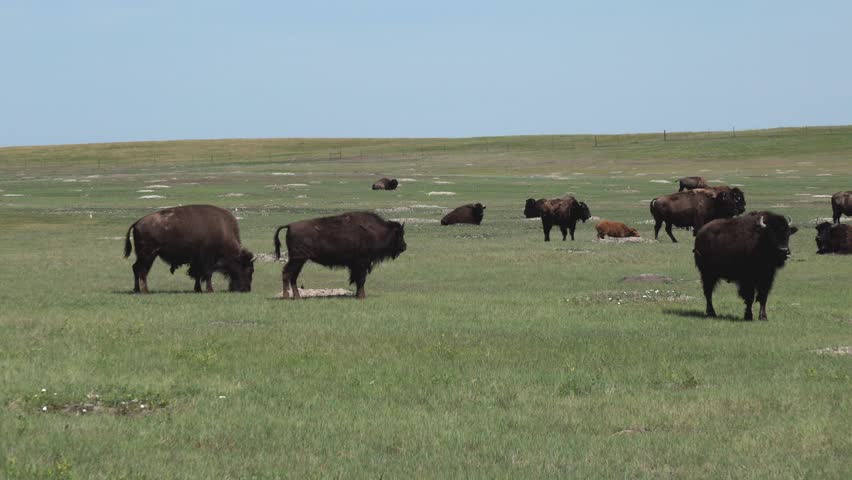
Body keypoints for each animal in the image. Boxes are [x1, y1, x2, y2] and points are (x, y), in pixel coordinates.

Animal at [123, 205, 254, 293]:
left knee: (136, 268)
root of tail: (137, 223)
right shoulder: (208, 260)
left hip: (144, 255)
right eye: (248, 269)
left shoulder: (197, 261)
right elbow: (207, 274)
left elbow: (197, 275)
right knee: (142, 271)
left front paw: (198, 289)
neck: (223, 231)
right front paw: (210, 290)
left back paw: (137, 290)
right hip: (148, 255)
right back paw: (145, 290)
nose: (246, 289)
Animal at [273, 212, 406, 299]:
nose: (404, 247)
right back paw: (287, 296)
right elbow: (361, 280)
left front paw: (358, 295)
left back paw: (296, 297)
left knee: (292, 276)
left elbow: (357, 280)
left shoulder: (357, 265)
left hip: (299, 260)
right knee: (287, 273)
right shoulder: (362, 263)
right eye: (400, 234)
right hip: (298, 259)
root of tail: (290, 225)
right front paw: (362, 297)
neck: (376, 231)